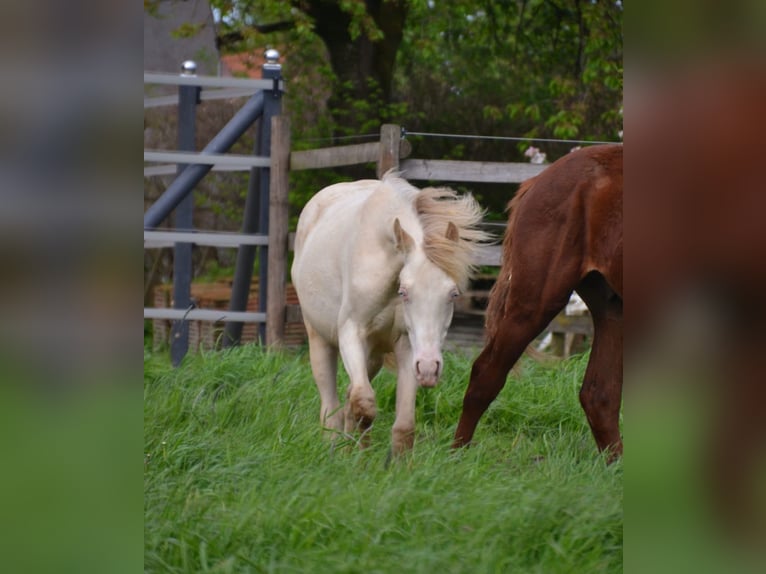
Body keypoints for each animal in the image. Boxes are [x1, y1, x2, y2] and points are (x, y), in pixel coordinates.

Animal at [292, 173, 488, 456]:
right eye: (404, 291)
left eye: (453, 294)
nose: (430, 368)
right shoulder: (351, 335)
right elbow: (364, 405)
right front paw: (358, 459)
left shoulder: (407, 347)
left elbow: (403, 426)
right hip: (320, 340)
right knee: (331, 407)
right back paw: (334, 447)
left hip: (373, 356)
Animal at [456, 145, 624, 464]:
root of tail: (537, 181)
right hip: (535, 303)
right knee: (485, 373)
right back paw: (456, 458)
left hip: (613, 308)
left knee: (599, 395)